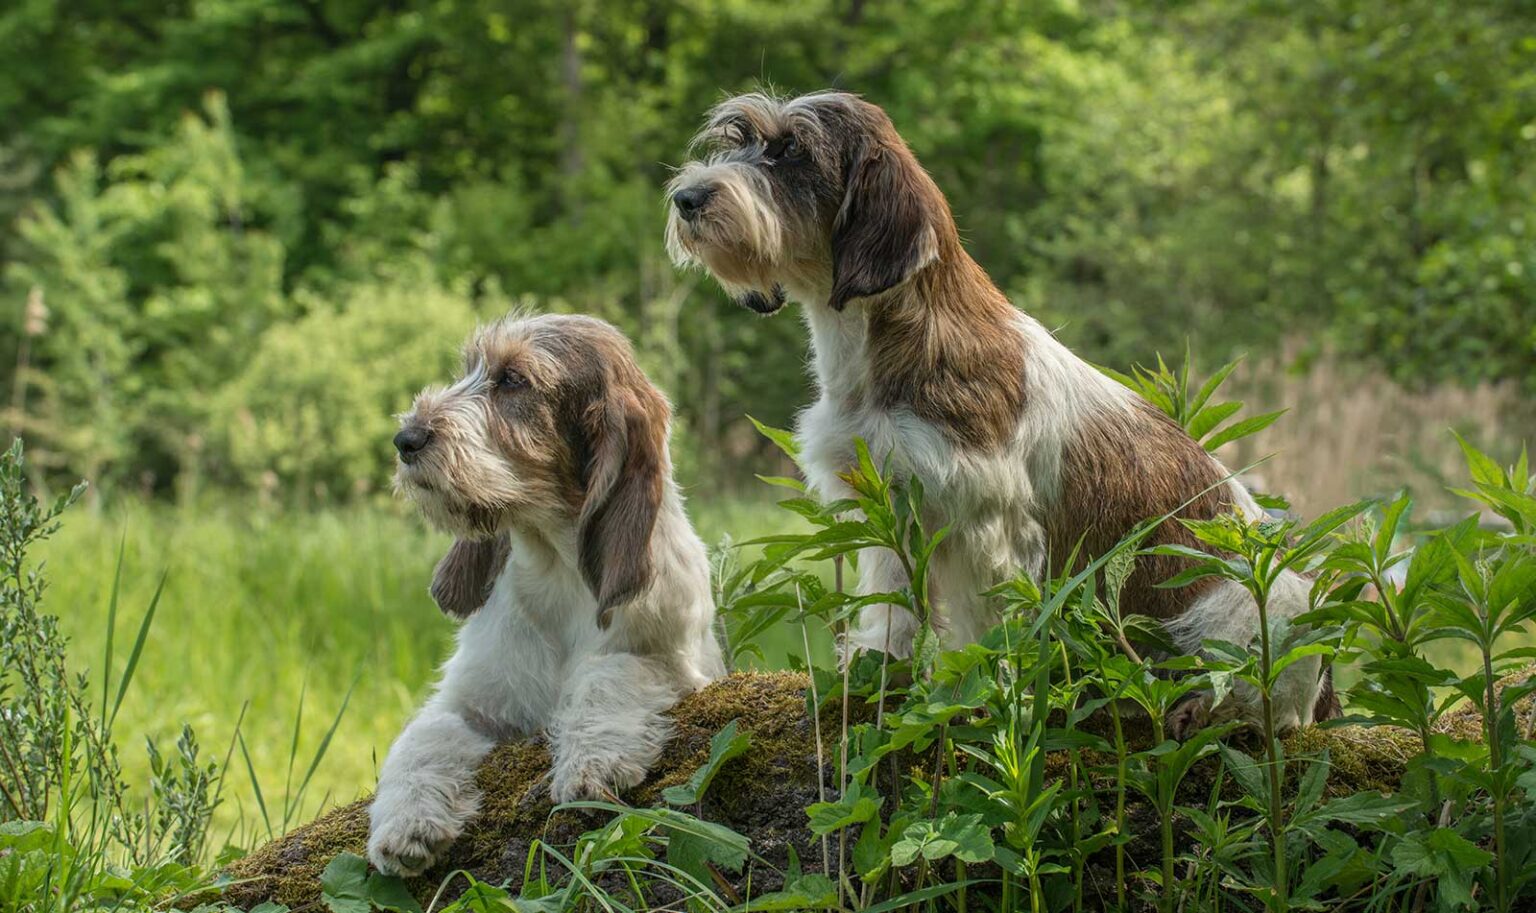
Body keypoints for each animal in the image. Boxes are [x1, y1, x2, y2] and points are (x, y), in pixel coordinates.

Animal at [373, 313, 731, 873]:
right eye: (469, 369)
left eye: (513, 380)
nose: (405, 438)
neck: (553, 569)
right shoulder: (467, 702)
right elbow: (422, 736)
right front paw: (406, 820)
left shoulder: (676, 668)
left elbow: (609, 674)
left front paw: (592, 762)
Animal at [666, 90, 1339, 731]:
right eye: (739, 139)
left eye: (791, 152)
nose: (685, 197)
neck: (892, 343)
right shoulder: (890, 510)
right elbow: (891, 608)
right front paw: (879, 675)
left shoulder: (986, 527)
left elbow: (983, 627)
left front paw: (977, 695)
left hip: (1248, 614)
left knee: (1260, 701)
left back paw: (1201, 708)